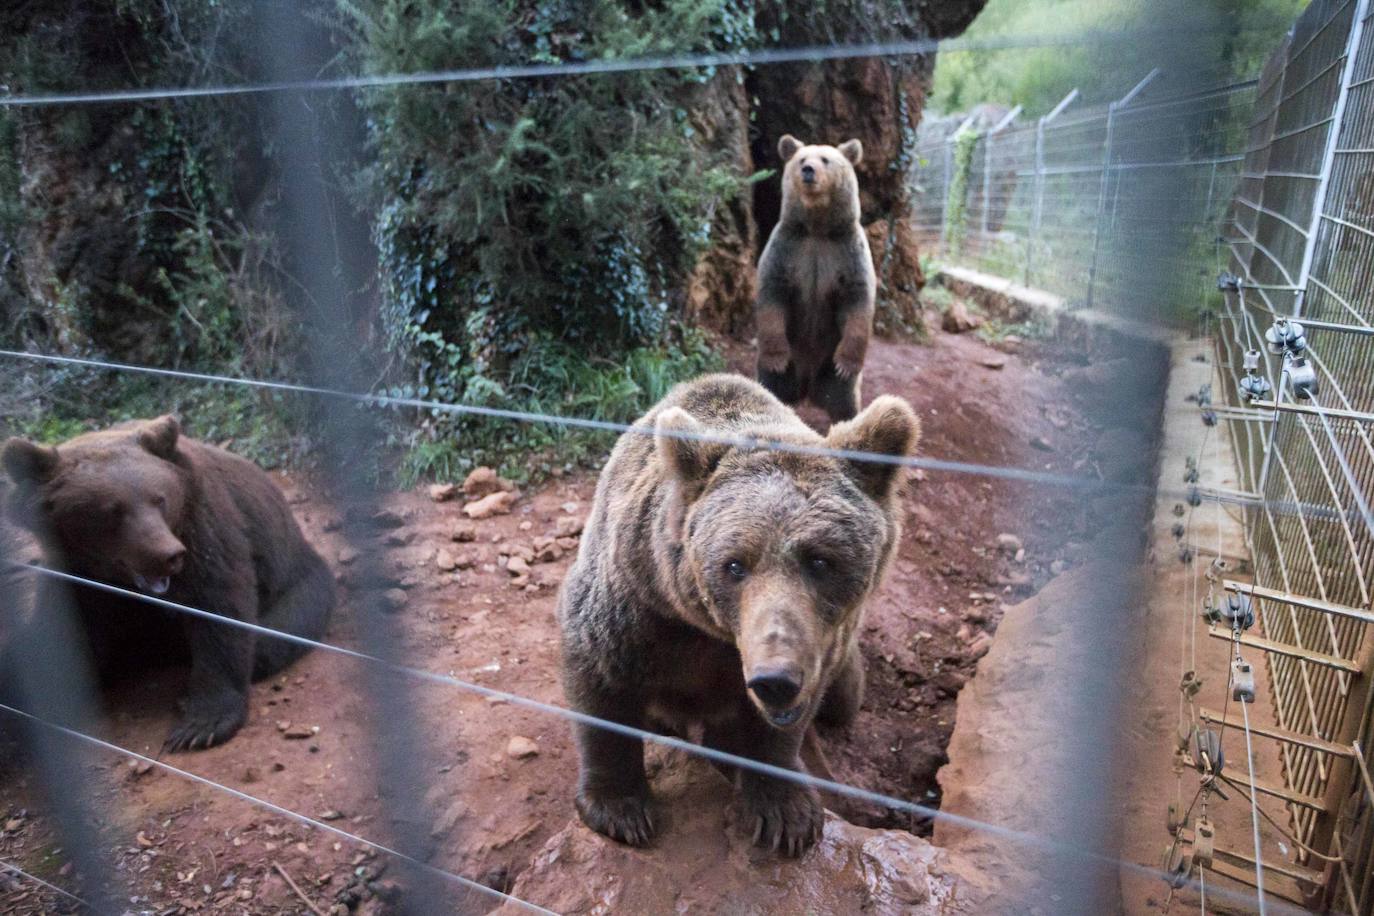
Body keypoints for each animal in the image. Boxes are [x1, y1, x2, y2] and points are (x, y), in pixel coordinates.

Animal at [2, 414, 335, 752]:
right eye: (112, 512)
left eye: (159, 499)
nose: (168, 555)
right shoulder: (78, 576)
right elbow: (66, 640)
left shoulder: (203, 526)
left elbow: (218, 606)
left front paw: (201, 725)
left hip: (298, 582)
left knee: (273, 638)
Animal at [552, 370, 917, 851]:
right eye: (734, 564)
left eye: (821, 560)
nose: (775, 679)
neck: (712, 632)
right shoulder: (637, 601)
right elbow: (600, 679)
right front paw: (621, 809)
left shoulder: (822, 645)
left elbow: (784, 724)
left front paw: (785, 813)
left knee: (843, 698)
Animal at [758, 134, 873, 425]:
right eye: (801, 159)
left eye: (825, 159)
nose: (808, 170)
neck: (817, 229)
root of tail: (808, 388)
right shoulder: (788, 248)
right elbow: (772, 294)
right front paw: (775, 358)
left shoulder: (846, 252)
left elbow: (858, 299)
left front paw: (847, 363)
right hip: (789, 367)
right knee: (770, 389)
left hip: (829, 368)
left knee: (844, 403)